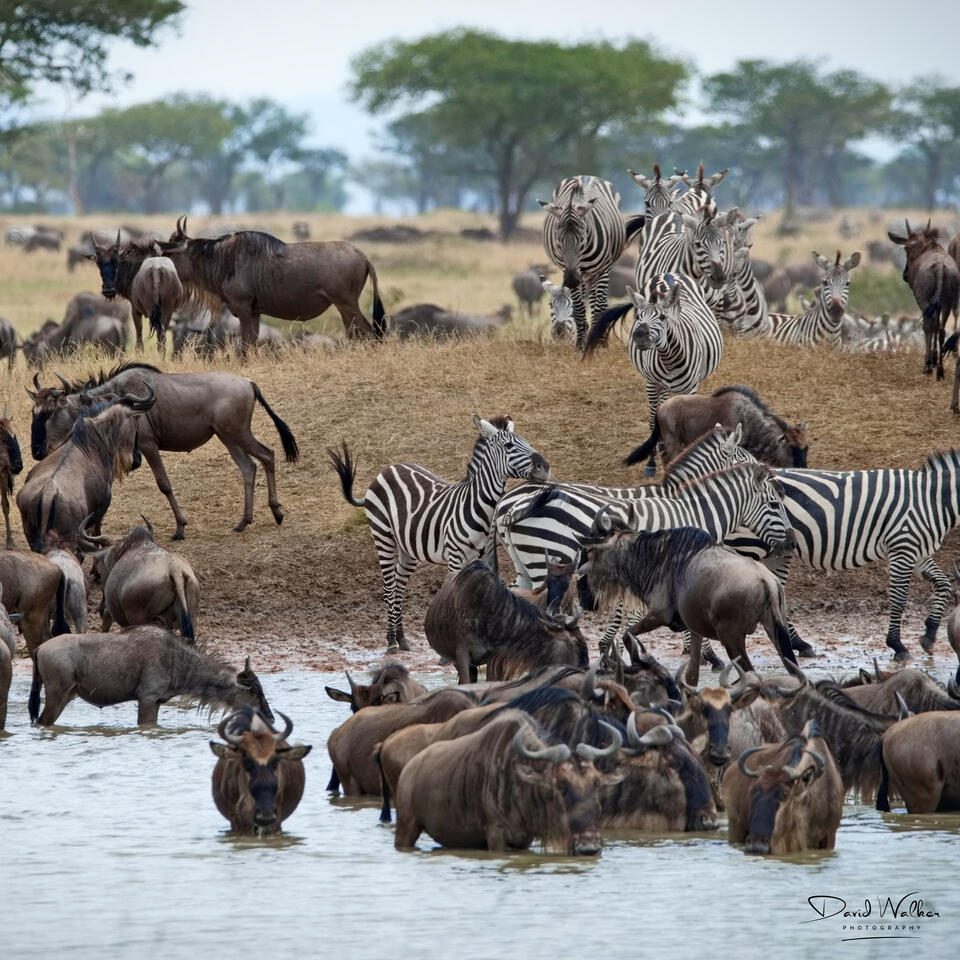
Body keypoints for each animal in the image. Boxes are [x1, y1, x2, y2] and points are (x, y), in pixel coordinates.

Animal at [328, 415, 550, 652]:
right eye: (508, 446)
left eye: (526, 442)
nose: (545, 468)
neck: (478, 506)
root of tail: (387, 469)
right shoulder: (455, 557)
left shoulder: (482, 558)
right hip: (383, 536)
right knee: (389, 588)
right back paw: (391, 642)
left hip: (408, 548)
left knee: (399, 587)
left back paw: (402, 639)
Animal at [539, 175, 628, 349]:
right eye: (558, 240)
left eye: (582, 238)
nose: (571, 280)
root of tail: (585, 177)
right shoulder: (570, 270)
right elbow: (579, 310)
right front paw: (580, 344)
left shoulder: (601, 269)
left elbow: (599, 307)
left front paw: (598, 344)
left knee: (598, 302)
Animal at [585, 272, 724, 477]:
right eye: (639, 316)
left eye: (663, 317)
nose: (640, 334)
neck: (669, 359)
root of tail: (669, 274)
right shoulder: (651, 383)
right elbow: (652, 423)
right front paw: (651, 463)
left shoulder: (690, 389)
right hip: (660, 386)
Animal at [724, 448, 960, 661]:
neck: (932, 499)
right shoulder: (903, 546)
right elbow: (898, 598)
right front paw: (897, 645)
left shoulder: (917, 549)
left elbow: (943, 584)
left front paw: (929, 634)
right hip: (747, 544)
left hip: (778, 551)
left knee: (777, 591)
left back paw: (799, 644)